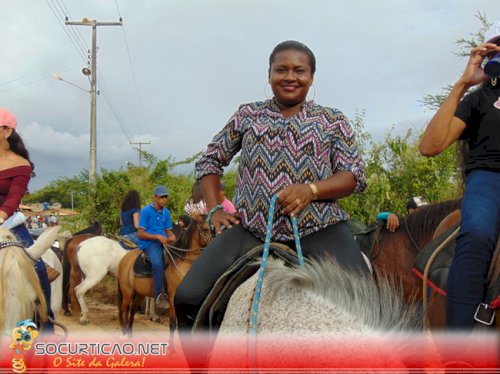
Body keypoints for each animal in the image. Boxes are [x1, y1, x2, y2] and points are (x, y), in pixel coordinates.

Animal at [118, 213, 210, 348]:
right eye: (204, 228)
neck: (182, 261)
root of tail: (124, 258)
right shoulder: (172, 297)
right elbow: (173, 323)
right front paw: (171, 348)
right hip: (127, 292)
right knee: (125, 309)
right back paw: (124, 335)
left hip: (139, 293)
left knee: (133, 309)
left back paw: (130, 336)